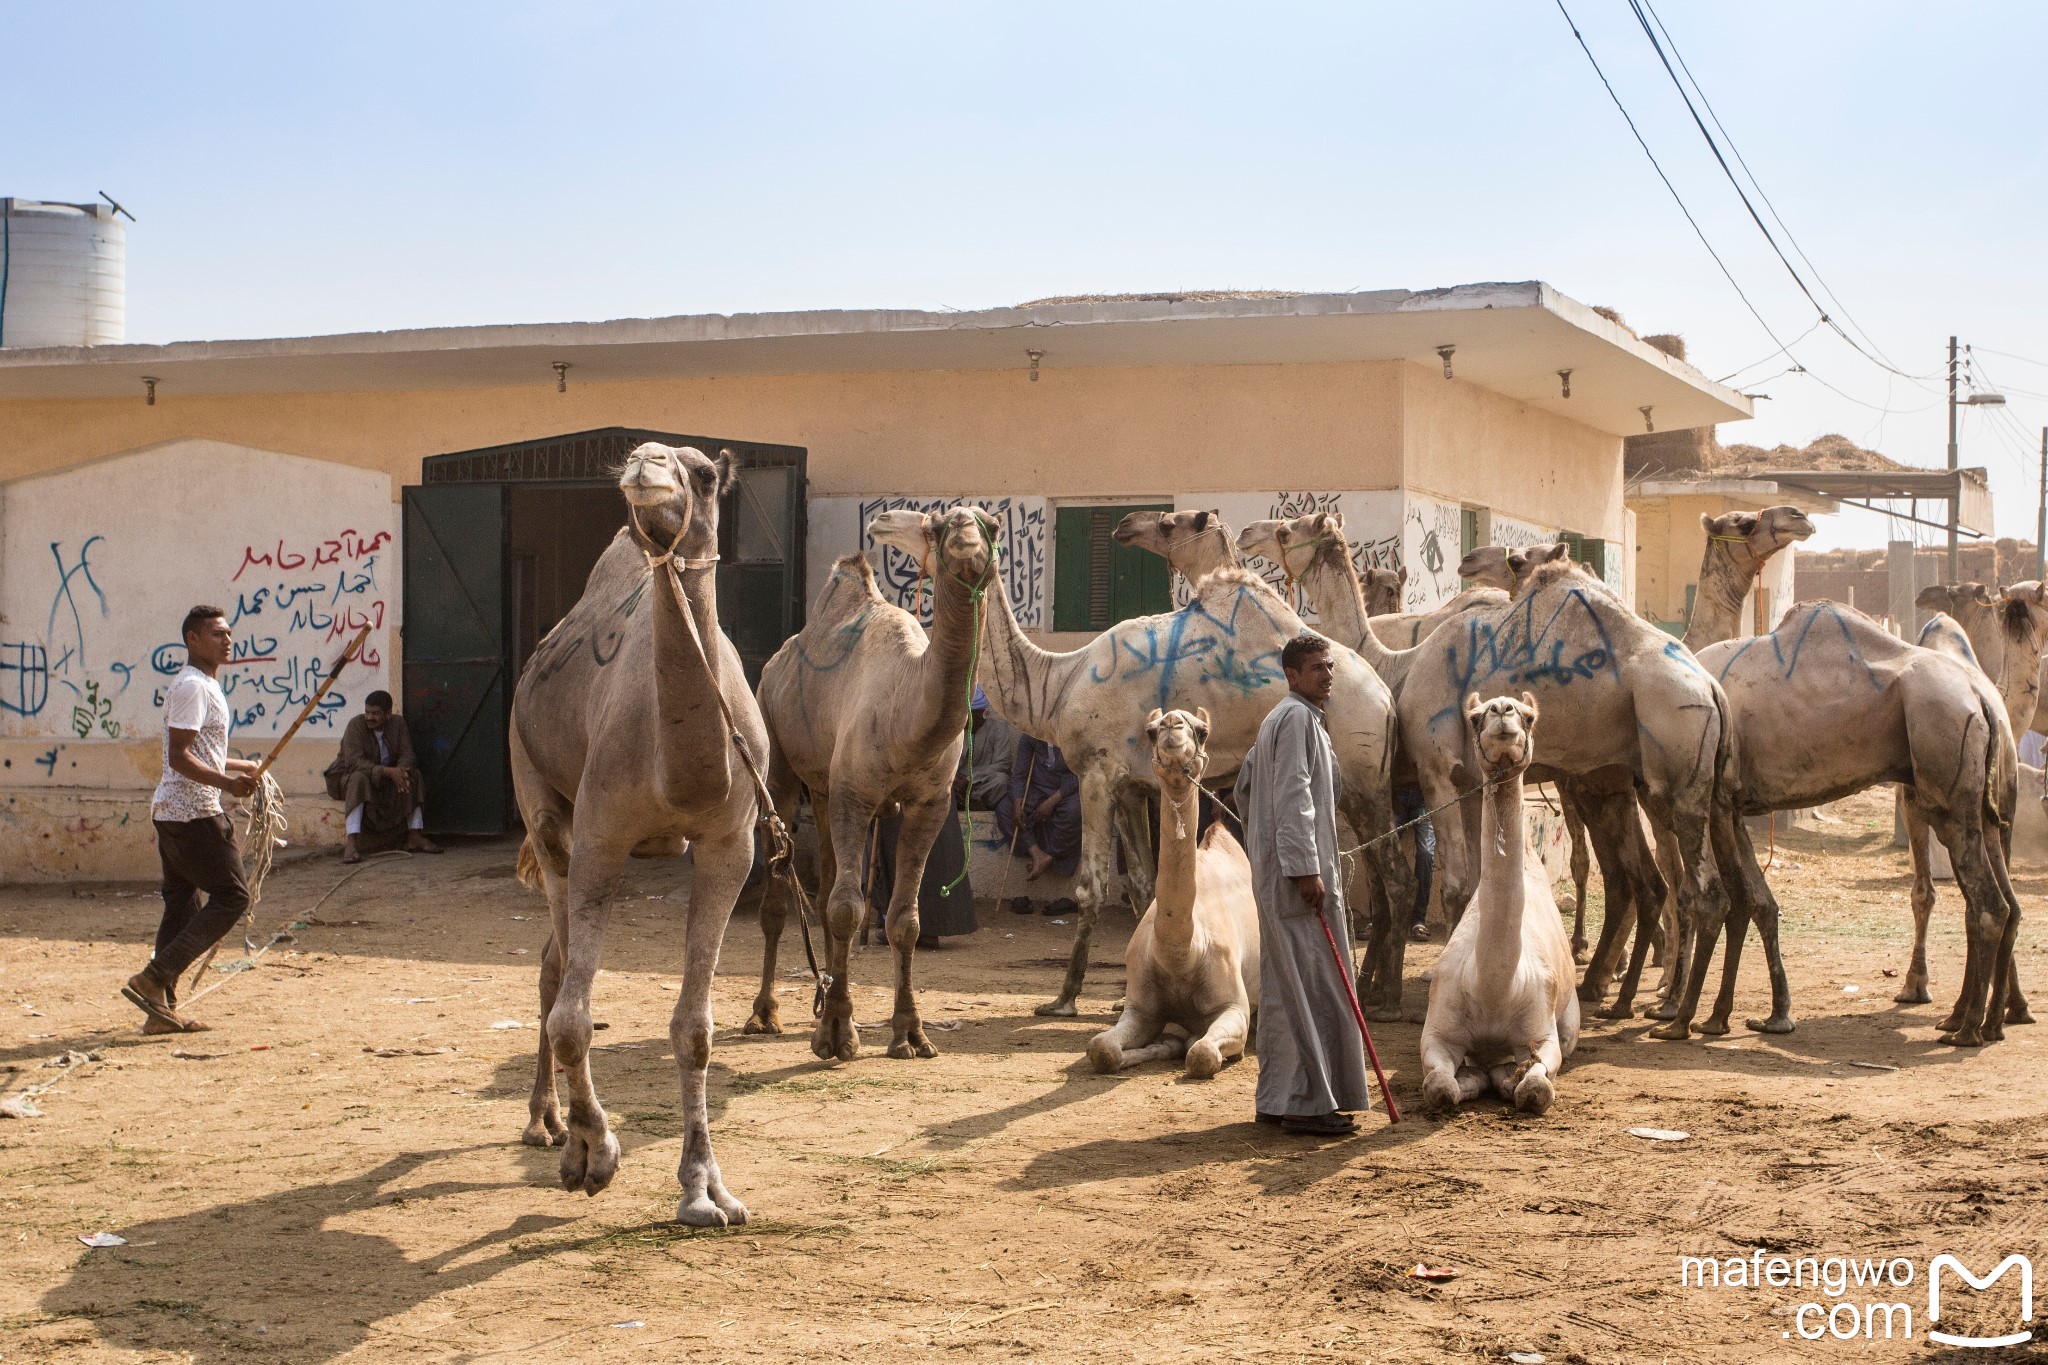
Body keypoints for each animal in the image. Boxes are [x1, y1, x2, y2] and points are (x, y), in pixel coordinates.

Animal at [507, 439, 765, 1227]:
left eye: (704, 474)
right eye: (634, 459)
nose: (644, 463)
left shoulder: (731, 845)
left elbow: (695, 1028)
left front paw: (705, 1190)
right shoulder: (601, 835)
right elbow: (573, 1019)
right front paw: (595, 1155)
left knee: (552, 958)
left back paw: (550, 1119)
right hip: (542, 801)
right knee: (559, 969)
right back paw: (551, 1127)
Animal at [749, 507, 995, 1064]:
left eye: (990, 525)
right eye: (941, 526)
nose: (966, 537)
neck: (907, 712)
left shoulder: (928, 803)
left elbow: (904, 920)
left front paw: (909, 1035)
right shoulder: (854, 795)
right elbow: (846, 909)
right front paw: (836, 1035)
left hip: (822, 790)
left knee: (822, 891)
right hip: (778, 760)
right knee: (781, 897)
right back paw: (766, 1015)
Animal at [974, 564, 1409, 1015]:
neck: (1060, 683)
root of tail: (1386, 698)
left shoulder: (1097, 773)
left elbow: (1091, 888)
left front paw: (1063, 1000)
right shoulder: (1131, 788)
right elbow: (1143, 885)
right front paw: (1130, 994)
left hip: (1365, 777)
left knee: (1397, 876)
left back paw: (1390, 998)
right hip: (1358, 789)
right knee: (1376, 878)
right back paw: (1368, 988)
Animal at [1089, 703, 1261, 1080]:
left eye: (1203, 731)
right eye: (1151, 730)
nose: (1172, 724)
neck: (1183, 954)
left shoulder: (1234, 1007)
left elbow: (1201, 1053)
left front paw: (1185, 1044)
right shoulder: (1141, 1008)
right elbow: (1102, 1048)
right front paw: (1160, 1045)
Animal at [1425, 699, 1581, 1113]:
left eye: (1529, 716)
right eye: (1476, 717)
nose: (1502, 708)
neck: (1494, 988)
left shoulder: (1542, 1032)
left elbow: (1536, 1088)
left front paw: (1510, 1079)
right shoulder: (1438, 1030)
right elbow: (1439, 1087)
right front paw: (1470, 1078)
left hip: (1571, 1017)